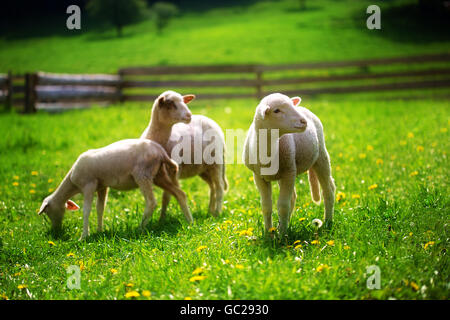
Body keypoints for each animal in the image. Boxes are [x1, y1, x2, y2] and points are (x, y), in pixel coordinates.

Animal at [38, 139, 192, 239]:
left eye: (47, 212)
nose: (56, 230)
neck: (72, 182)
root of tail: (161, 152)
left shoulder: (89, 185)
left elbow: (86, 211)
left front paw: (84, 236)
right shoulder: (102, 187)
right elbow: (100, 208)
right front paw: (99, 231)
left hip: (142, 174)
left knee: (151, 202)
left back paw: (140, 228)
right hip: (159, 175)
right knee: (180, 194)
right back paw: (190, 221)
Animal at [142, 91, 229, 219]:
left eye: (184, 102)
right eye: (171, 104)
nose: (189, 115)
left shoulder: (173, 172)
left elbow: (166, 197)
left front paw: (162, 219)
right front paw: (162, 218)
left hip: (216, 162)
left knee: (219, 186)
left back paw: (217, 213)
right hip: (203, 169)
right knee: (212, 186)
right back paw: (210, 211)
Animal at [243, 92, 334, 235]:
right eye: (276, 111)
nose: (304, 121)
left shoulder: (289, 173)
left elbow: (282, 206)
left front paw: (281, 236)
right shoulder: (259, 177)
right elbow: (266, 206)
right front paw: (269, 234)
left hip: (321, 156)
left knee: (328, 190)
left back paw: (328, 222)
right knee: (294, 197)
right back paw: (283, 225)